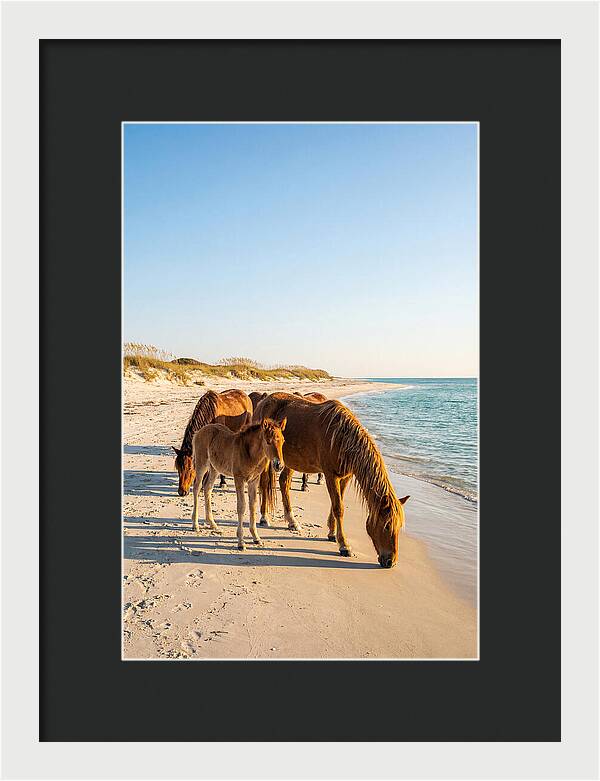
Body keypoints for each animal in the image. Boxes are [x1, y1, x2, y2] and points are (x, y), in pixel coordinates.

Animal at [191, 418, 286, 550]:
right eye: (268, 441)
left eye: (283, 441)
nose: (279, 465)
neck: (250, 454)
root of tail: (199, 431)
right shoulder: (239, 479)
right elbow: (241, 506)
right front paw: (241, 542)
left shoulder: (253, 480)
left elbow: (253, 505)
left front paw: (256, 537)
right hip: (201, 464)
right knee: (196, 487)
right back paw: (195, 525)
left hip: (215, 468)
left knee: (207, 488)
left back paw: (212, 523)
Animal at [254, 393, 409, 568]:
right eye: (387, 525)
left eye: (399, 526)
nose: (391, 561)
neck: (342, 438)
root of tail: (264, 401)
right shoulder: (330, 475)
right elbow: (338, 508)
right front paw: (344, 545)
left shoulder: (345, 477)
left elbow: (336, 504)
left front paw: (332, 533)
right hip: (267, 458)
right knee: (264, 483)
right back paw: (264, 517)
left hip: (290, 461)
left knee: (284, 482)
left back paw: (292, 521)